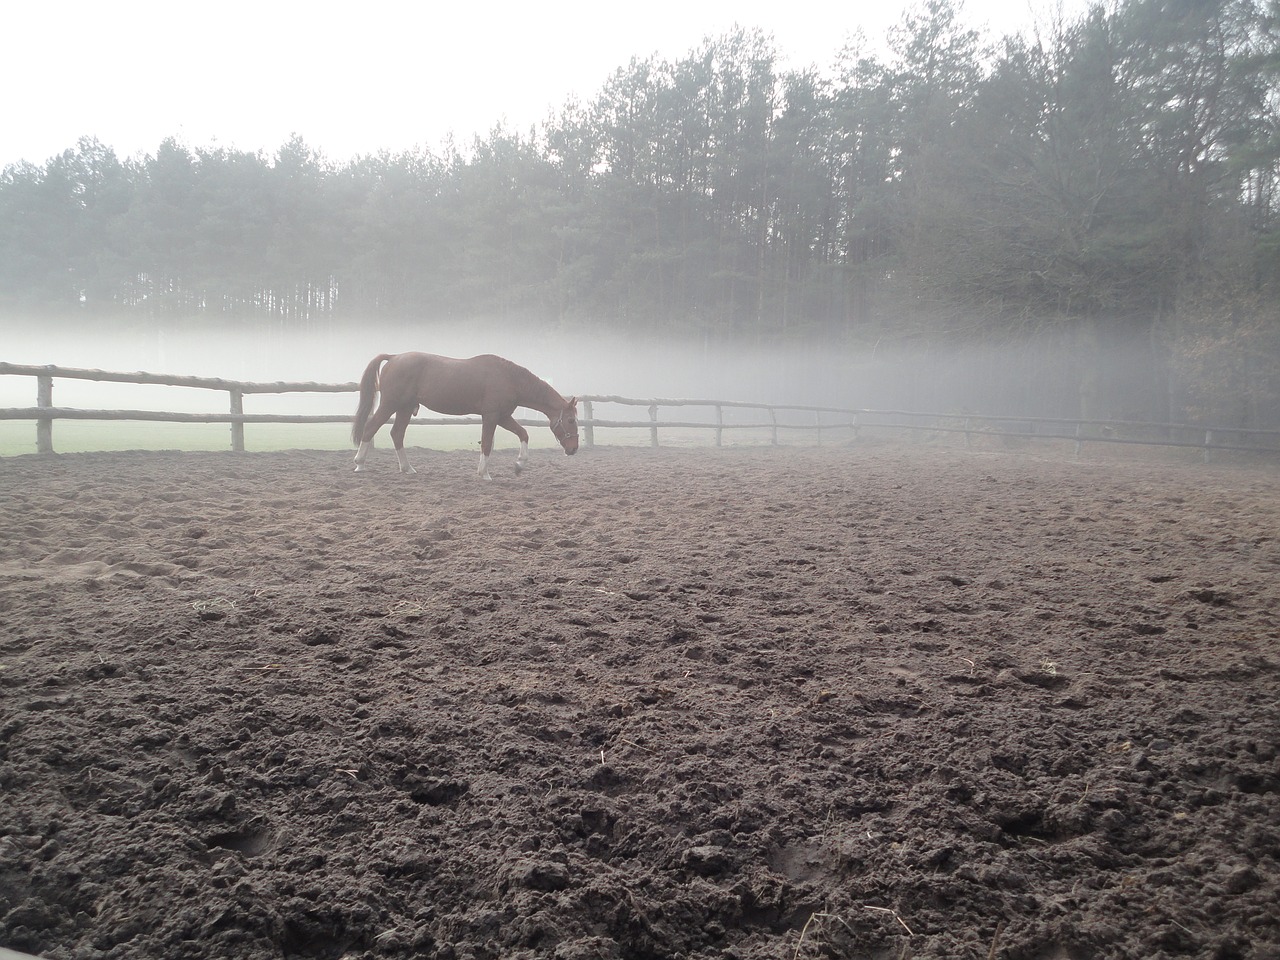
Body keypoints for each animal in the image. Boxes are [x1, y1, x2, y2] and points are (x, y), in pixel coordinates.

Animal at [350, 350, 581, 478]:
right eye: (570, 420)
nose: (573, 449)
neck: (509, 378)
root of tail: (394, 357)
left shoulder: (503, 417)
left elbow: (523, 434)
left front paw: (519, 465)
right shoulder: (491, 416)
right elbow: (486, 444)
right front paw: (484, 473)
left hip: (405, 408)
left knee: (397, 434)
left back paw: (407, 468)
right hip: (390, 404)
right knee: (370, 428)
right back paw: (360, 464)